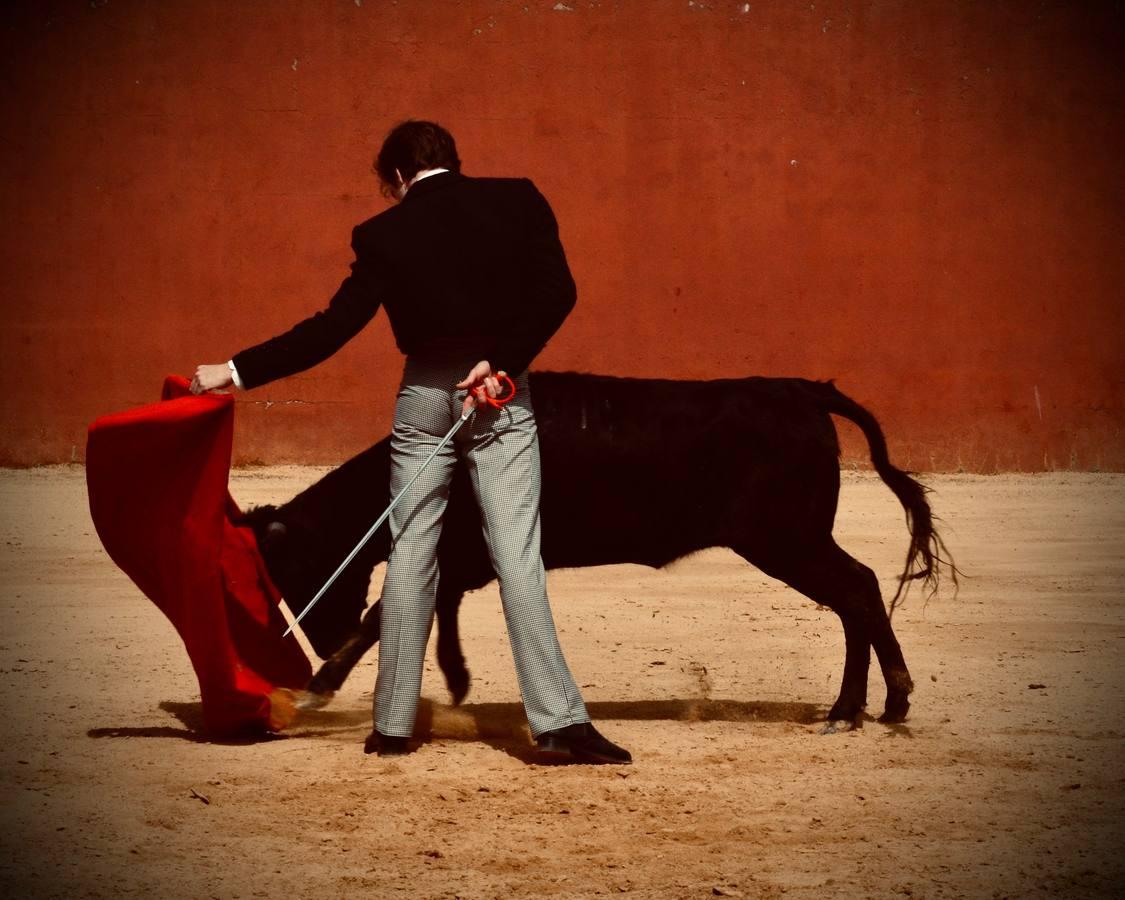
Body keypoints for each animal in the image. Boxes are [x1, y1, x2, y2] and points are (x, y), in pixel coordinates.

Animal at [241, 371, 954, 724]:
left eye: (289, 572)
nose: (317, 646)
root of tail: (802, 389)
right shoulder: (465, 557)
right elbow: (431, 606)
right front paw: (456, 679)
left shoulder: (458, 552)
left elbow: (382, 613)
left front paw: (321, 688)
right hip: (794, 540)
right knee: (855, 595)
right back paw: (862, 706)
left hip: (786, 539)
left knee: (857, 588)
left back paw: (875, 702)